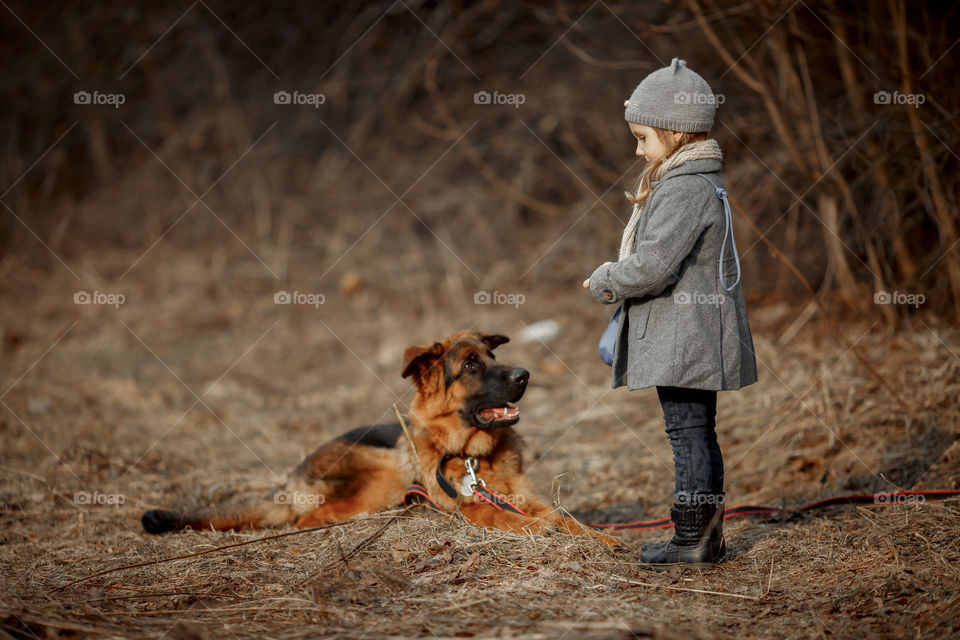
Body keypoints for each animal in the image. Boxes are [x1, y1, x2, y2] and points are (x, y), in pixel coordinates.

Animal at [142, 330, 620, 544]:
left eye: (492, 356)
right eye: (470, 365)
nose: (524, 375)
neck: (474, 456)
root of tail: (291, 482)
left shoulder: (528, 496)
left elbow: (564, 515)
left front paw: (602, 537)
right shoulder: (469, 509)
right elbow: (514, 516)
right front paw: (548, 529)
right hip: (385, 473)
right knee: (308, 519)